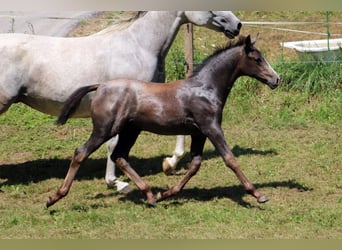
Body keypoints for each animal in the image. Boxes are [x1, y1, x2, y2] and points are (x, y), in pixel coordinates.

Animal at [46, 35, 280, 207]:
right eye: (257, 59)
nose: (276, 79)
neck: (205, 88)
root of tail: (101, 86)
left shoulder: (199, 133)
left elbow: (195, 164)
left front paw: (167, 193)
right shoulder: (211, 128)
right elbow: (230, 159)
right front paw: (258, 194)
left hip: (130, 131)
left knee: (119, 156)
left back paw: (150, 196)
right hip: (105, 130)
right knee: (81, 153)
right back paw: (54, 197)